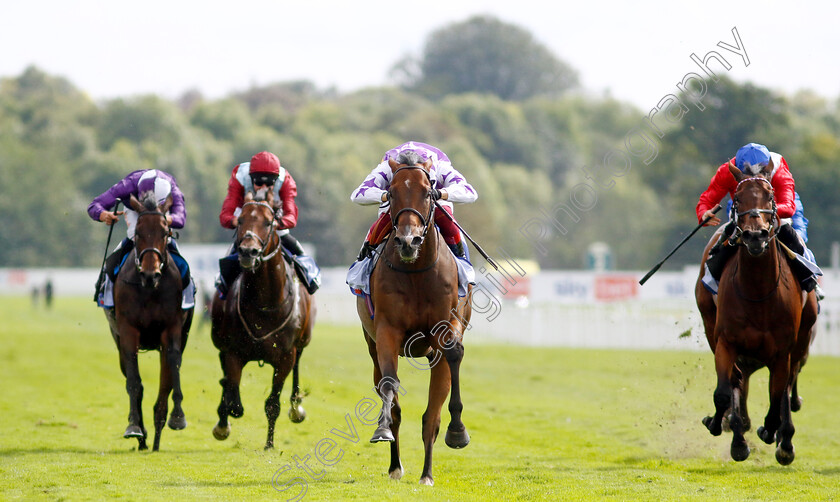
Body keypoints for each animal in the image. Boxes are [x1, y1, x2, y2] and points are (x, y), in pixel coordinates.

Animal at [105, 191, 194, 452]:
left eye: (165, 232)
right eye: (138, 232)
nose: (149, 274)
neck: (148, 290)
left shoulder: (172, 329)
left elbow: (171, 372)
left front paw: (177, 416)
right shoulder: (127, 331)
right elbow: (134, 382)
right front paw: (135, 427)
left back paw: (156, 435)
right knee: (132, 379)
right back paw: (143, 435)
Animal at [210, 188, 316, 452]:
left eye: (269, 222)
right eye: (240, 221)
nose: (248, 252)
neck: (264, 305)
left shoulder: (285, 357)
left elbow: (272, 403)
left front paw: (269, 444)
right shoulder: (234, 351)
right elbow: (234, 398)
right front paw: (224, 421)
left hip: (302, 342)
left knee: (298, 366)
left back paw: (296, 407)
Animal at [356, 153, 472, 486]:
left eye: (428, 192)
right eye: (391, 193)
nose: (409, 241)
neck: (417, 272)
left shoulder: (446, 328)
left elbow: (454, 355)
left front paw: (457, 432)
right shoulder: (387, 331)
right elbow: (390, 384)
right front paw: (381, 428)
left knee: (432, 416)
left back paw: (427, 473)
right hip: (372, 346)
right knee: (391, 398)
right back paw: (395, 465)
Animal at [696, 163, 820, 464]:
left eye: (770, 196)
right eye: (738, 198)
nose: (755, 235)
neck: (758, 293)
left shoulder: (783, 352)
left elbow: (777, 396)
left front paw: (773, 432)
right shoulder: (726, 342)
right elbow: (723, 391)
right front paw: (727, 430)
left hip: (802, 338)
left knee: (786, 387)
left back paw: (782, 438)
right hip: (710, 324)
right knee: (738, 380)